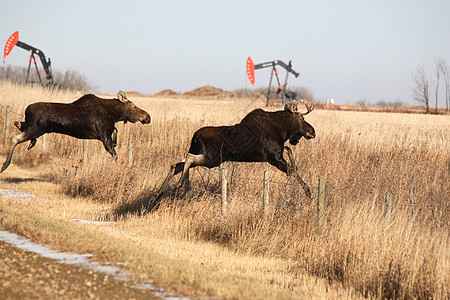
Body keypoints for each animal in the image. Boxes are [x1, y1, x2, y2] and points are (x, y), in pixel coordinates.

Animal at [0, 90, 152, 172]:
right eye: (133, 106)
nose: (147, 117)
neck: (114, 115)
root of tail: (27, 109)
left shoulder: (107, 134)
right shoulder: (104, 135)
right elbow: (115, 155)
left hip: (34, 128)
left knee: (18, 123)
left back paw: (30, 142)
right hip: (36, 129)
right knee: (15, 138)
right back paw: (5, 165)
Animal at [156, 101, 314, 202]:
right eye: (302, 118)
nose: (313, 131)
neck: (283, 131)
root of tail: (195, 136)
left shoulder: (276, 156)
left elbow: (290, 154)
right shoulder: (274, 158)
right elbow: (292, 171)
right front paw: (309, 193)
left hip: (207, 157)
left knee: (175, 165)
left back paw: (159, 193)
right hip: (212, 159)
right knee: (187, 157)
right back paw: (176, 185)